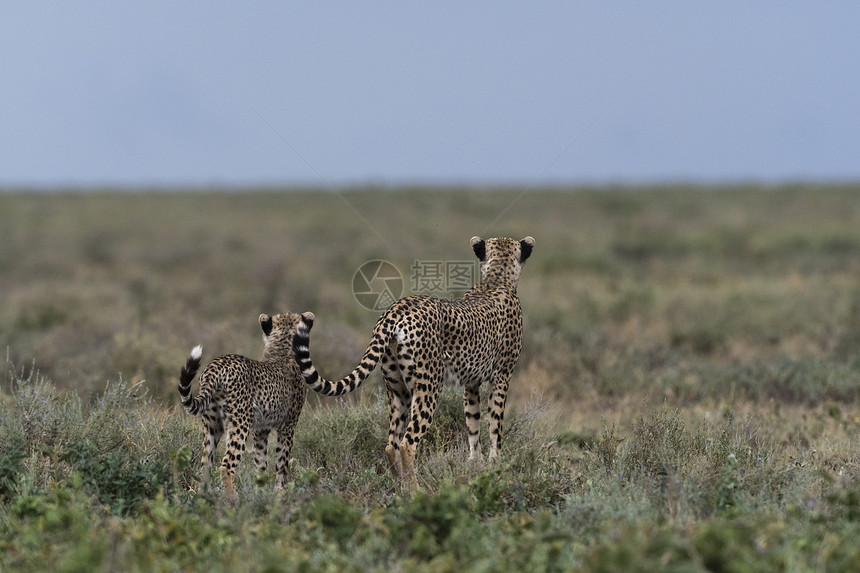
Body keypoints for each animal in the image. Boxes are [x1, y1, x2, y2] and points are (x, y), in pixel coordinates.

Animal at [178, 310, 312, 498]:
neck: (282, 350)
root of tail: (217, 363)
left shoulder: (261, 430)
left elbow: (261, 462)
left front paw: (261, 492)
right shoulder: (287, 427)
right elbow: (282, 463)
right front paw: (280, 492)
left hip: (213, 426)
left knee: (205, 464)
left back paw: (203, 496)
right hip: (240, 423)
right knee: (226, 465)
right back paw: (232, 498)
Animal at [294, 235, 532, 490]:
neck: (497, 279)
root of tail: (397, 308)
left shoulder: (471, 383)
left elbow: (473, 423)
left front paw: (474, 465)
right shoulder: (502, 377)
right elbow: (496, 425)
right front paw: (496, 467)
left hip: (398, 390)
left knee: (391, 444)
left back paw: (400, 488)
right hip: (429, 386)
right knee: (407, 443)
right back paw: (417, 491)